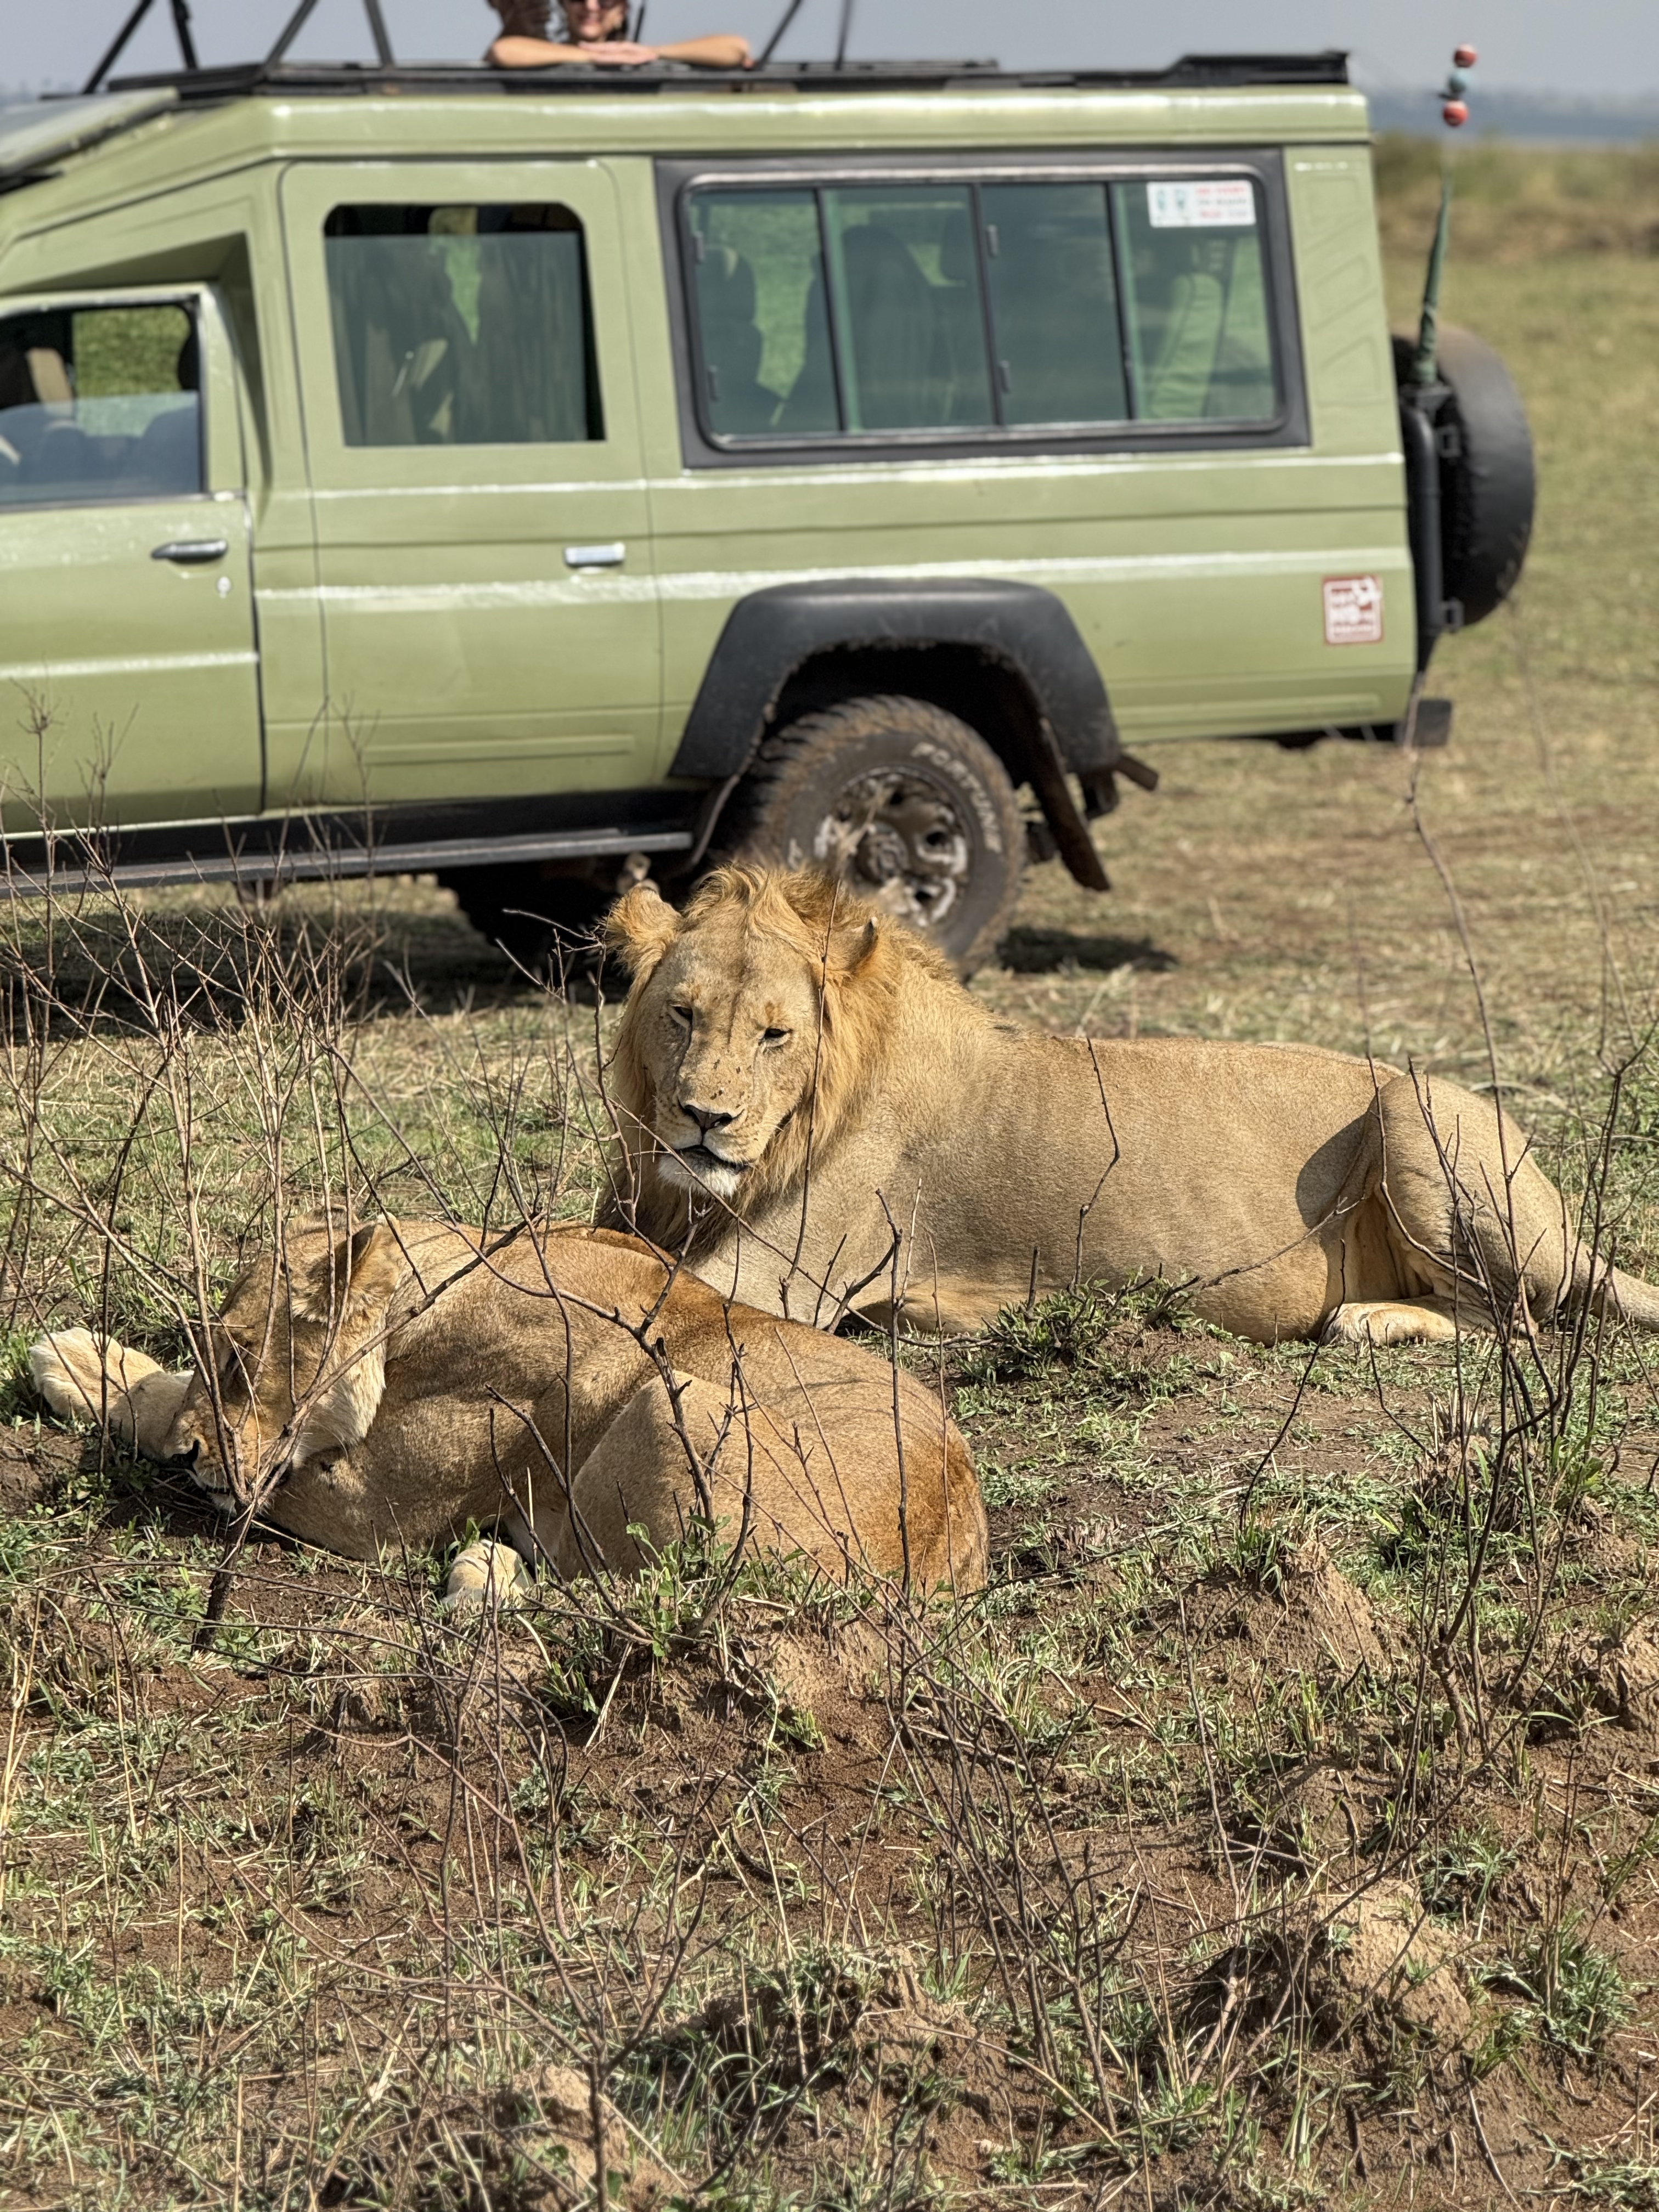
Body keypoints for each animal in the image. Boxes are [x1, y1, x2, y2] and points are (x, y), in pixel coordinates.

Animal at [28, 1218, 986, 1602]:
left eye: (237, 1360)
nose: (199, 1455)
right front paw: (76, 1359)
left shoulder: (376, 1514)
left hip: (669, 1399)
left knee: (604, 1592)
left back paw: (480, 1571)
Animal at [598, 864, 1659, 1347]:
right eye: (682, 1015)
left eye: (775, 1035)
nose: (703, 1118)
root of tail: (1564, 1219)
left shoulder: (783, 1273)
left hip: (1414, 1107)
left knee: (1515, 1321)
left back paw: (1363, 1318)